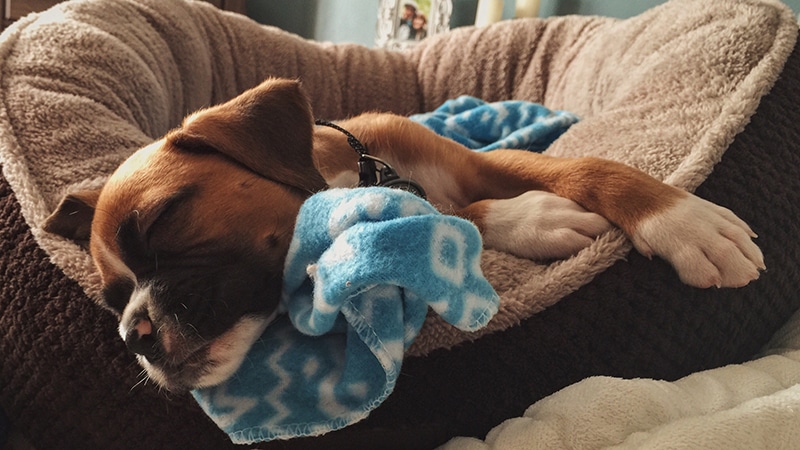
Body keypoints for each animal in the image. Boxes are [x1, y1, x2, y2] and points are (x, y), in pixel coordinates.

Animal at [42, 79, 764, 392]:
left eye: (163, 218)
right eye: (110, 300)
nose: (132, 335)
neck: (357, 171)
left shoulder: (478, 163)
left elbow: (587, 167)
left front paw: (682, 219)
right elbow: (465, 213)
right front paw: (537, 218)